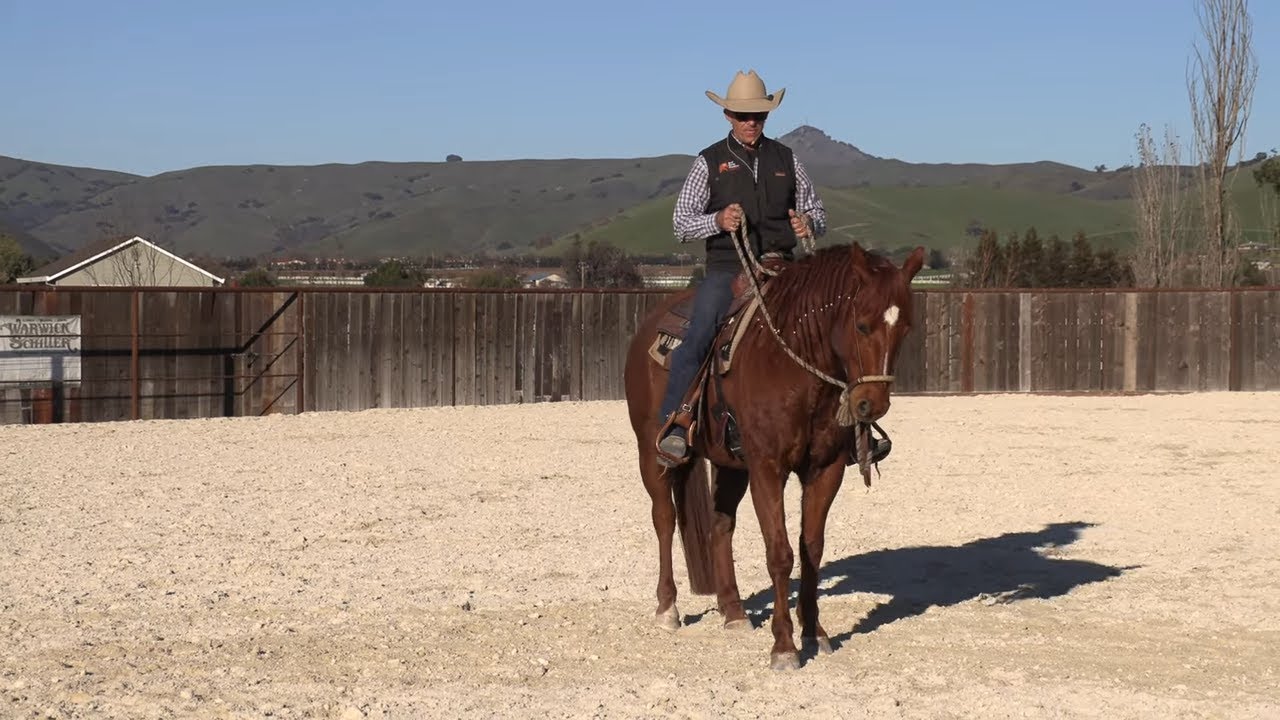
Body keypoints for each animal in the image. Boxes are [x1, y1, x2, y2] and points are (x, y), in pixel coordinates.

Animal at [622, 236, 926, 670]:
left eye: (905, 328)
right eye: (862, 324)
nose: (871, 404)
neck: (796, 366)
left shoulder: (825, 469)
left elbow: (811, 549)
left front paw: (815, 632)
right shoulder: (768, 467)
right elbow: (779, 552)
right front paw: (784, 645)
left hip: (730, 462)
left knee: (720, 526)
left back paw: (733, 611)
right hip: (651, 451)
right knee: (664, 519)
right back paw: (668, 608)